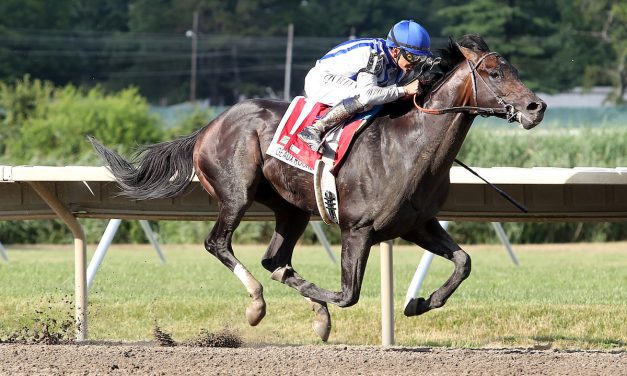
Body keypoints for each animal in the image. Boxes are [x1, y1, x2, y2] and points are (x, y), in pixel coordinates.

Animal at [91, 34, 548, 340]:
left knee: (275, 260)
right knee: (220, 244)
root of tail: (208, 126)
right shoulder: (358, 230)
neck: (408, 145)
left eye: (515, 70)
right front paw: (324, 307)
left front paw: (419, 303)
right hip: (236, 193)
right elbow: (347, 294)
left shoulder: (418, 224)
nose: (536, 107)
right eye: (494, 72)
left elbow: (464, 262)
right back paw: (258, 304)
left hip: (291, 209)